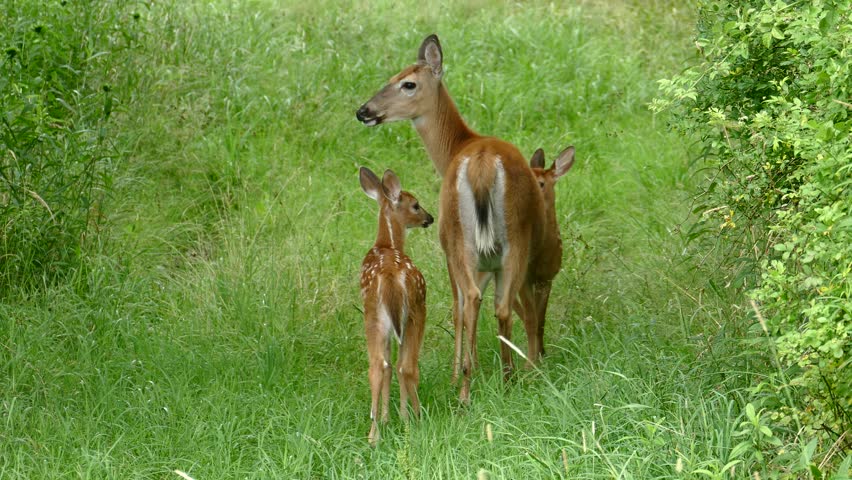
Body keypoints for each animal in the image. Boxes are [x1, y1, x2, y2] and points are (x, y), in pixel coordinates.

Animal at [356, 34, 548, 403]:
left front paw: (456, 372)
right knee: (505, 306)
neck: (456, 146)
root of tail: (483, 164)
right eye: (390, 77)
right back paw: (511, 378)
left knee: (469, 299)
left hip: (459, 238)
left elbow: (457, 308)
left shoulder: (445, 247)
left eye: (408, 83)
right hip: (518, 241)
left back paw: (464, 390)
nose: (364, 111)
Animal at [358, 166, 434, 445]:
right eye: (416, 204)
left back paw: (376, 434)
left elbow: (389, 367)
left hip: (376, 317)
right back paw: (414, 419)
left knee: (381, 366)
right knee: (404, 366)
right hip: (415, 312)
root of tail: (391, 277)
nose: (430, 218)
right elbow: (396, 367)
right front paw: (397, 417)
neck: (387, 245)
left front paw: (390, 417)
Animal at [518, 146, 575, 360]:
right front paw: (532, 359)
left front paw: (542, 353)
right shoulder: (524, 279)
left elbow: (540, 320)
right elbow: (531, 319)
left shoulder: (547, 277)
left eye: (541, 183)